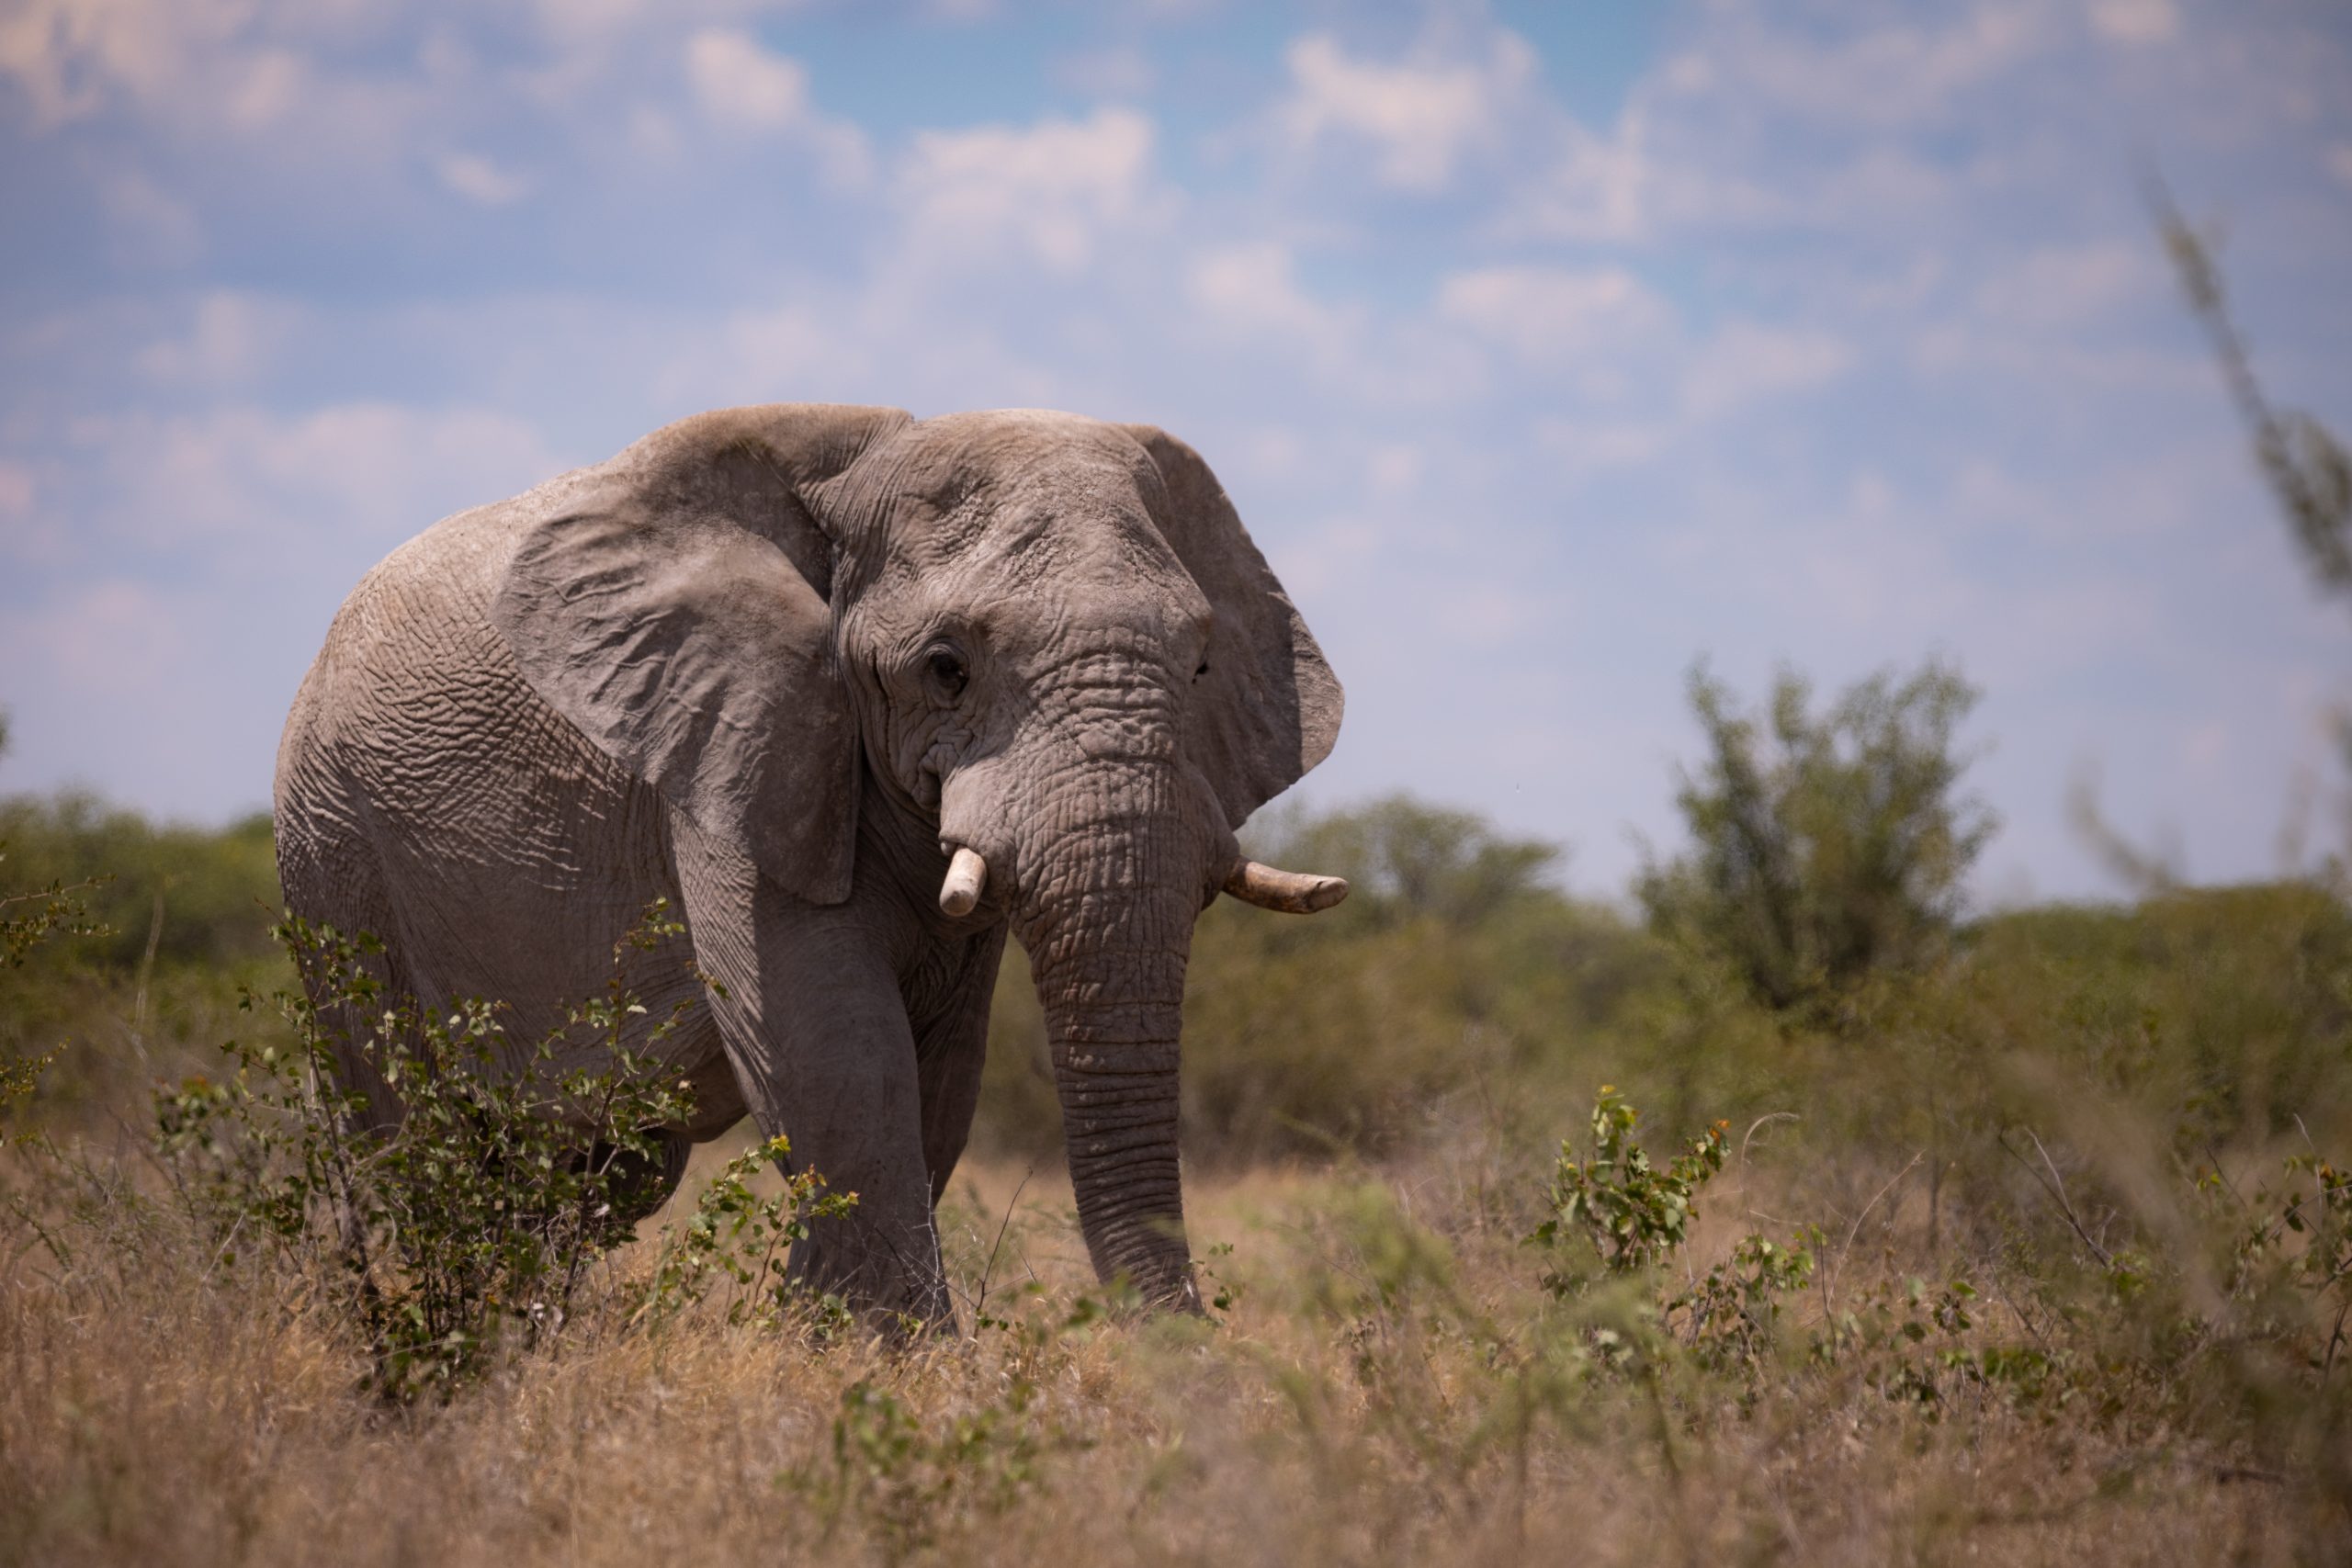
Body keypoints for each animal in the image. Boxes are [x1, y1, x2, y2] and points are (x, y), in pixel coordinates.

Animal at [272, 403, 1347, 1327]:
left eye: (1200, 664)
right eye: (946, 669)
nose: (1190, 1353)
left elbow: (934, 1087)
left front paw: (821, 1340)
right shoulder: (730, 743)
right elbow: (839, 1061)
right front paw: (893, 1365)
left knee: (585, 1176)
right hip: (332, 857)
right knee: (410, 1150)